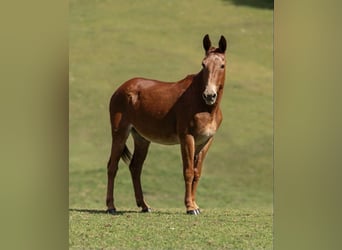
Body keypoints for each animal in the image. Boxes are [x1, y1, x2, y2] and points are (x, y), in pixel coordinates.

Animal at [105, 34, 226, 215]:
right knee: (112, 166)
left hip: (141, 138)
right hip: (120, 133)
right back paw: (111, 206)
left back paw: (144, 205)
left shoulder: (206, 141)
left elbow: (197, 172)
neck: (204, 106)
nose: (209, 95)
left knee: (135, 167)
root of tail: (121, 89)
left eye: (222, 65)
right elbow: (188, 171)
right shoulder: (187, 137)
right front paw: (190, 208)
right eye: (203, 64)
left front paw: (195, 205)